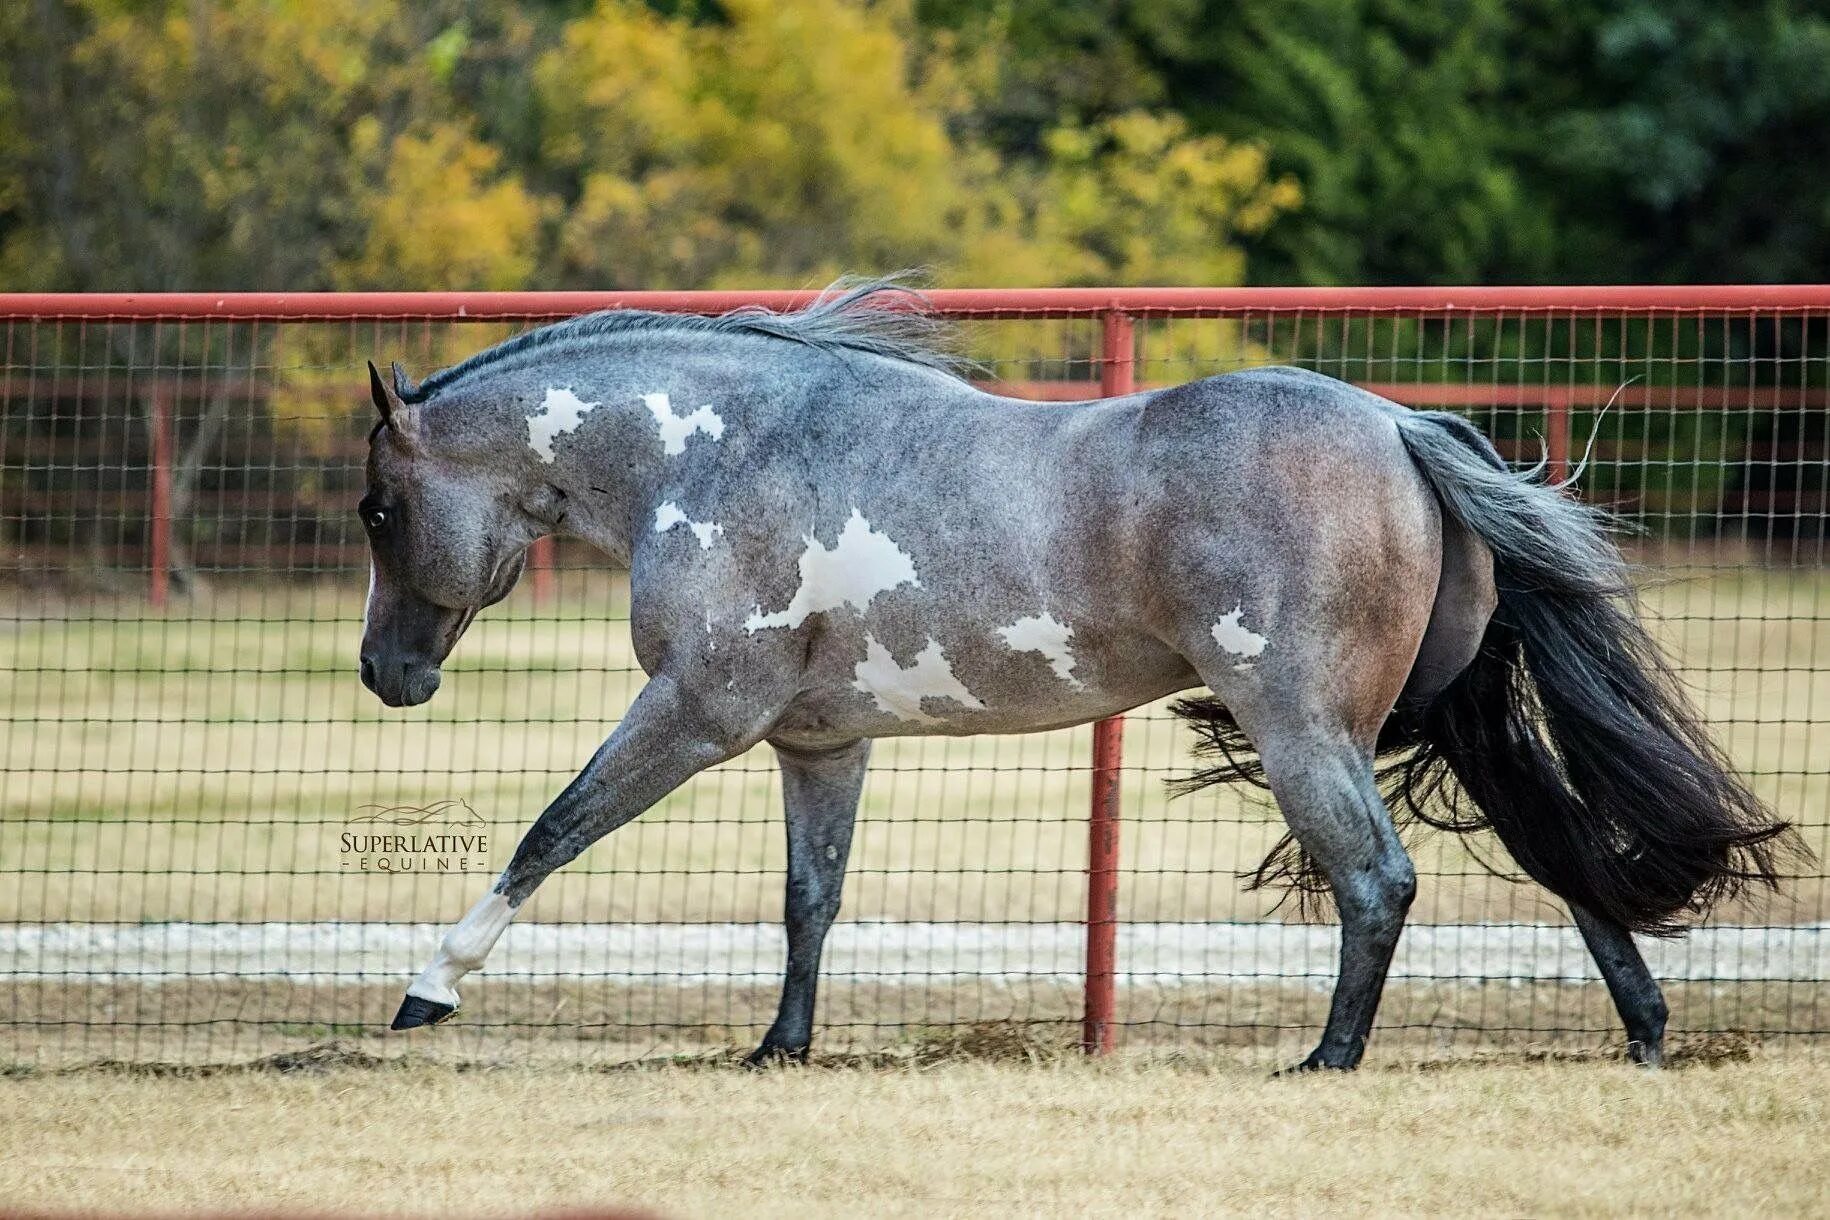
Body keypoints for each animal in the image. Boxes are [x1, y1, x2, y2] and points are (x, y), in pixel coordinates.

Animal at [353, 276, 1786, 1068]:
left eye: (377, 509)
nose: (383, 675)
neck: (718, 451)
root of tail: (1399, 424)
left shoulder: (696, 714)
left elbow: (550, 831)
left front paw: (428, 991)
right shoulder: (820, 743)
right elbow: (809, 901)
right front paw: (779, 1045)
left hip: (1305, 729)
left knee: (1380, 880)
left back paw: (1325, 1058)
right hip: (1440, 716)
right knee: (1562, 849)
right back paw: (1645, 1030)